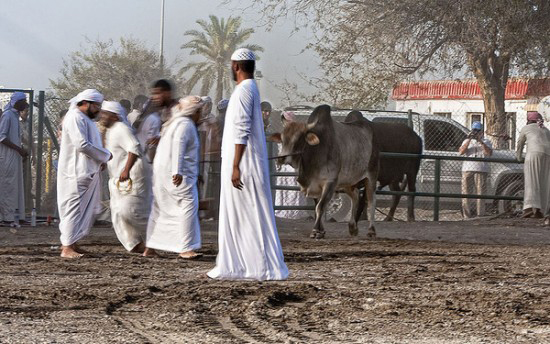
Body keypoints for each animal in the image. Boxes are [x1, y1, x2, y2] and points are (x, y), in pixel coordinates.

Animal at [270, 105, 380, 239]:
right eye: (282, 138)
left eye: (299, 139)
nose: (281, 158)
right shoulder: (315, 185)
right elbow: (318, 207)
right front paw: (321, 231)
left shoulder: (330, 182)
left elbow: (320, 207)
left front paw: (316, 231)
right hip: (347, 182)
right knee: (355, 197)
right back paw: (353, 227)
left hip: (371, 176)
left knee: (371, 201)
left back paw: (371, 231)